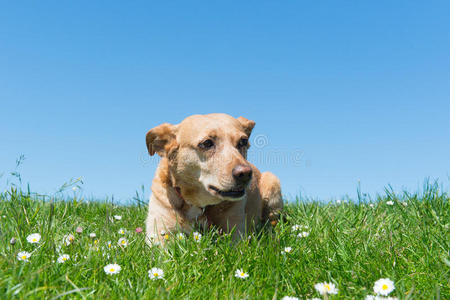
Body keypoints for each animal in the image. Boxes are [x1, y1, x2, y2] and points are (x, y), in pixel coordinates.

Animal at [144, 113, 282, 244]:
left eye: (243, 141)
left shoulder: (236, 234)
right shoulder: (158, 234)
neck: (198, 206)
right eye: (207, 143)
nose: (245, 174)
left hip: (273, 183)